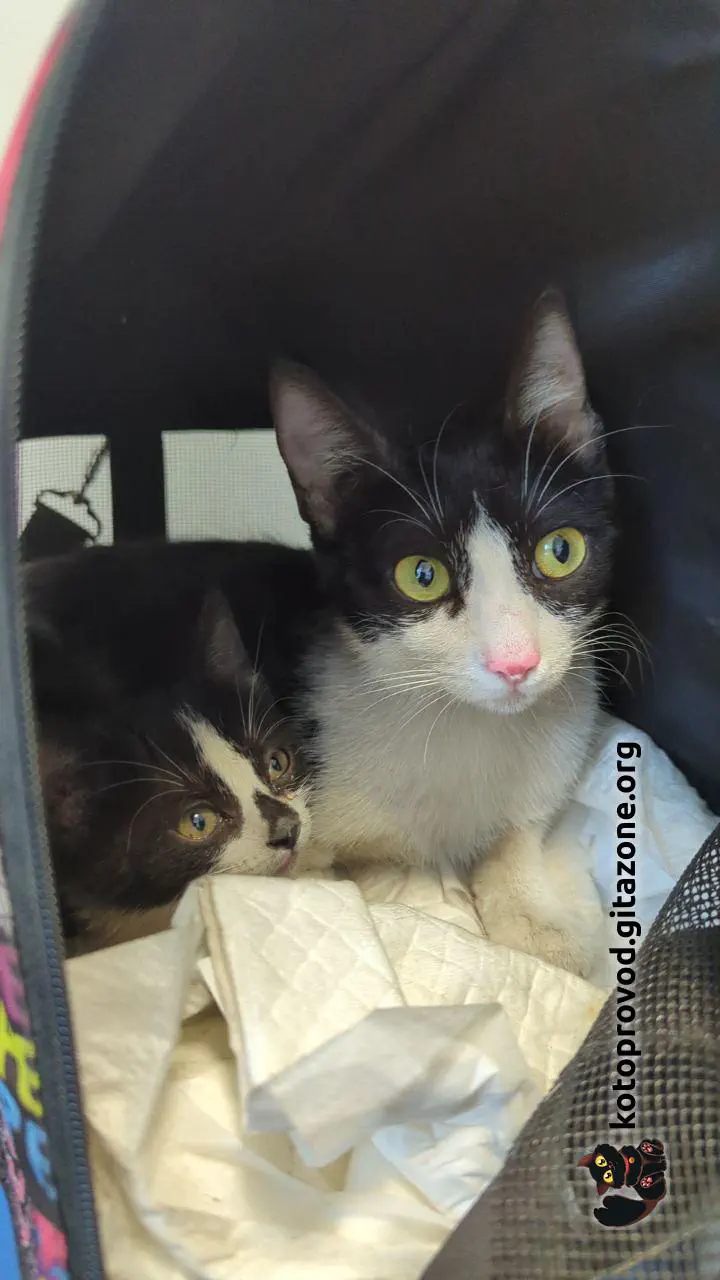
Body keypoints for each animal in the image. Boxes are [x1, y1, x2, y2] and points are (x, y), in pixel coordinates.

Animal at [268, 290, 619, 977]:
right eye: (422, 575)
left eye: (560, 550)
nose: (516, 664)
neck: (462, 724)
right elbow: (321, 881)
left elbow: (516, 837)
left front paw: (537, 927)